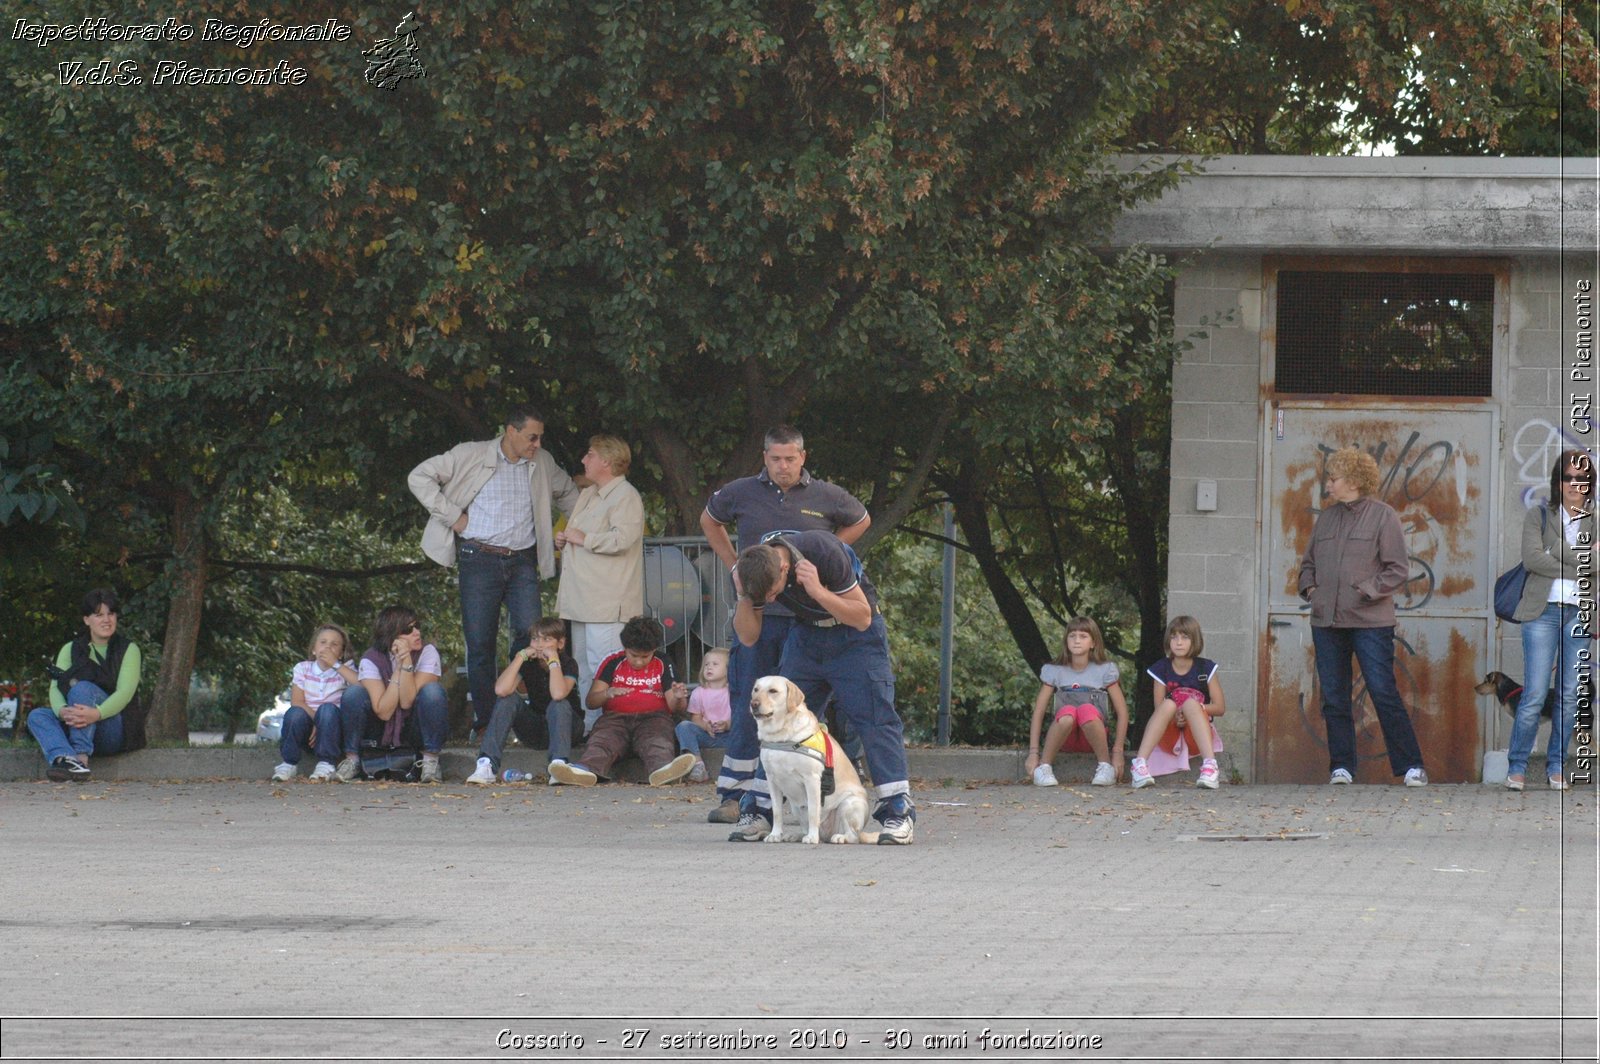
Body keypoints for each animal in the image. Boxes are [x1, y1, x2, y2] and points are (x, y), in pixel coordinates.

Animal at [748, 675, 876, 844]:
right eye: (756, 690)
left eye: (773, 691)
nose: (753, 704)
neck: (781, 737)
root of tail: (827, 834)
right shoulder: (772, 780)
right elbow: (777, 812)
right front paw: (775, 834)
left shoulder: (812, 780)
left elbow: (813, 813)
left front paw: (812, 837)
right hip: (796, 807)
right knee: (805, 827)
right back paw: (796, 835)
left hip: (849, 804)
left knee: (853, 835)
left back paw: (839, 837)